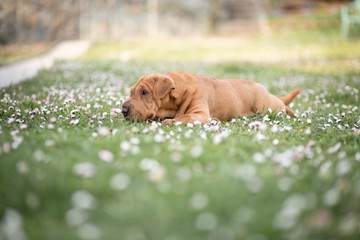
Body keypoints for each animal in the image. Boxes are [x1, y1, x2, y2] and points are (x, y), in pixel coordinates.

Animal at [121, 71, 300, 124]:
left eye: (144, 92)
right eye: (131, 92)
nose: (123, 110)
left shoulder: (200, 114)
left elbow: (184, 116)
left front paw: (171, 121)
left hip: (266, 105)